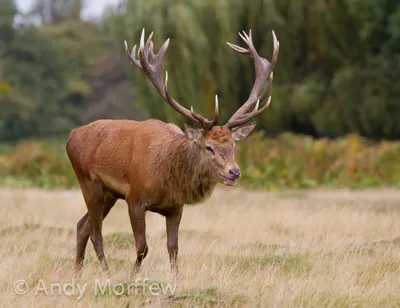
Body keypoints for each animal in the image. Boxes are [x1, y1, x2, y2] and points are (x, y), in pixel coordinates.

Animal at [66, 27, 278, 276]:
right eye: (209, 147)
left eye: (233, 145)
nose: (234, 172)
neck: (168, 178)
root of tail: (71, 136)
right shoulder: (134, 198)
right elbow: (142, 247)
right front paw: (132, 276)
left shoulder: (176, 207)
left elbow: (173, 248)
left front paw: (175, 279)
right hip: (88, 183)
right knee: (96, 233)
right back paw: (106, 273)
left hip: (109, 193)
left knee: (82, 226)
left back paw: (77, 272)